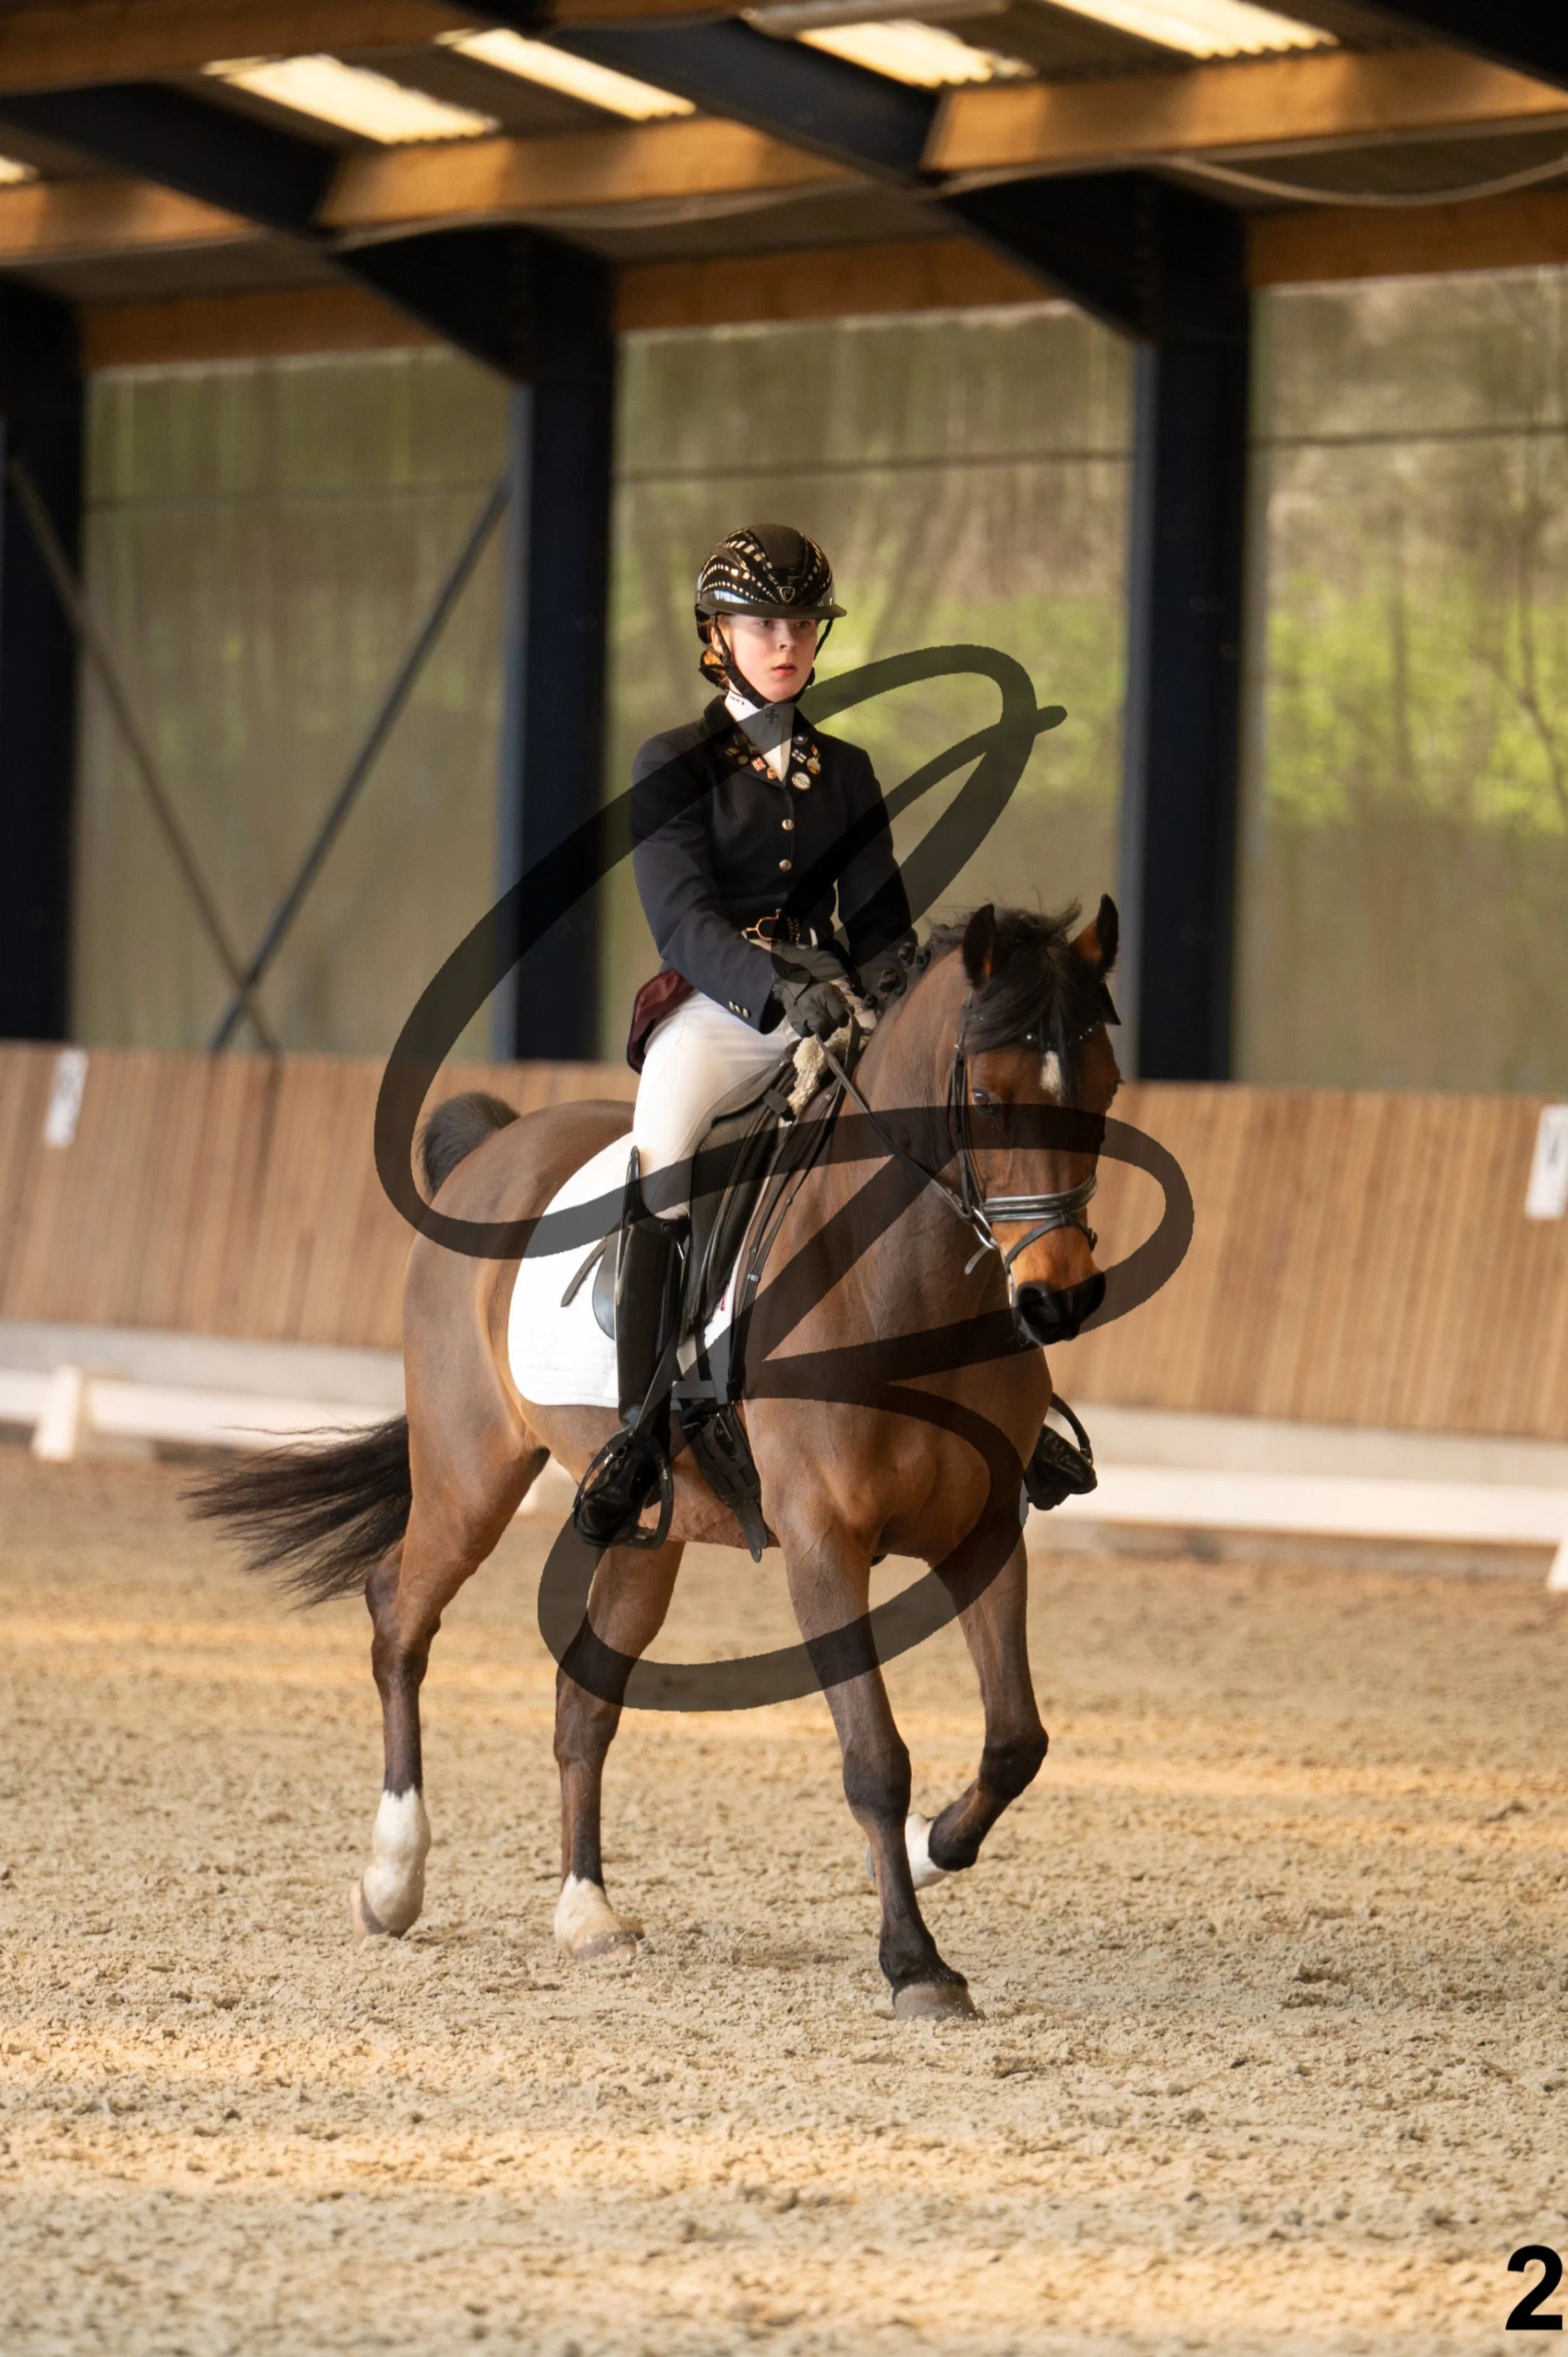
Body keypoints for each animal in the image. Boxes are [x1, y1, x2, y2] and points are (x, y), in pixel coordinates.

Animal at [193, 897, 1122, 2019]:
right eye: (985, 1096)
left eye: (1106, 1087)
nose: (1060, 1300)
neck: (905, 1288)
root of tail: (502, 1144)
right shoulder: (824, 1545)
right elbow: (873, 1756)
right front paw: (914, 1962)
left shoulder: (984, 1533)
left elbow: (1016, 1740)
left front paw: (923, 1850)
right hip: (470, 1476)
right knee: (399, 1620)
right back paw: (393, 1878)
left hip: (650, 1529)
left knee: (583, 1698)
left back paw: (586, 1911)